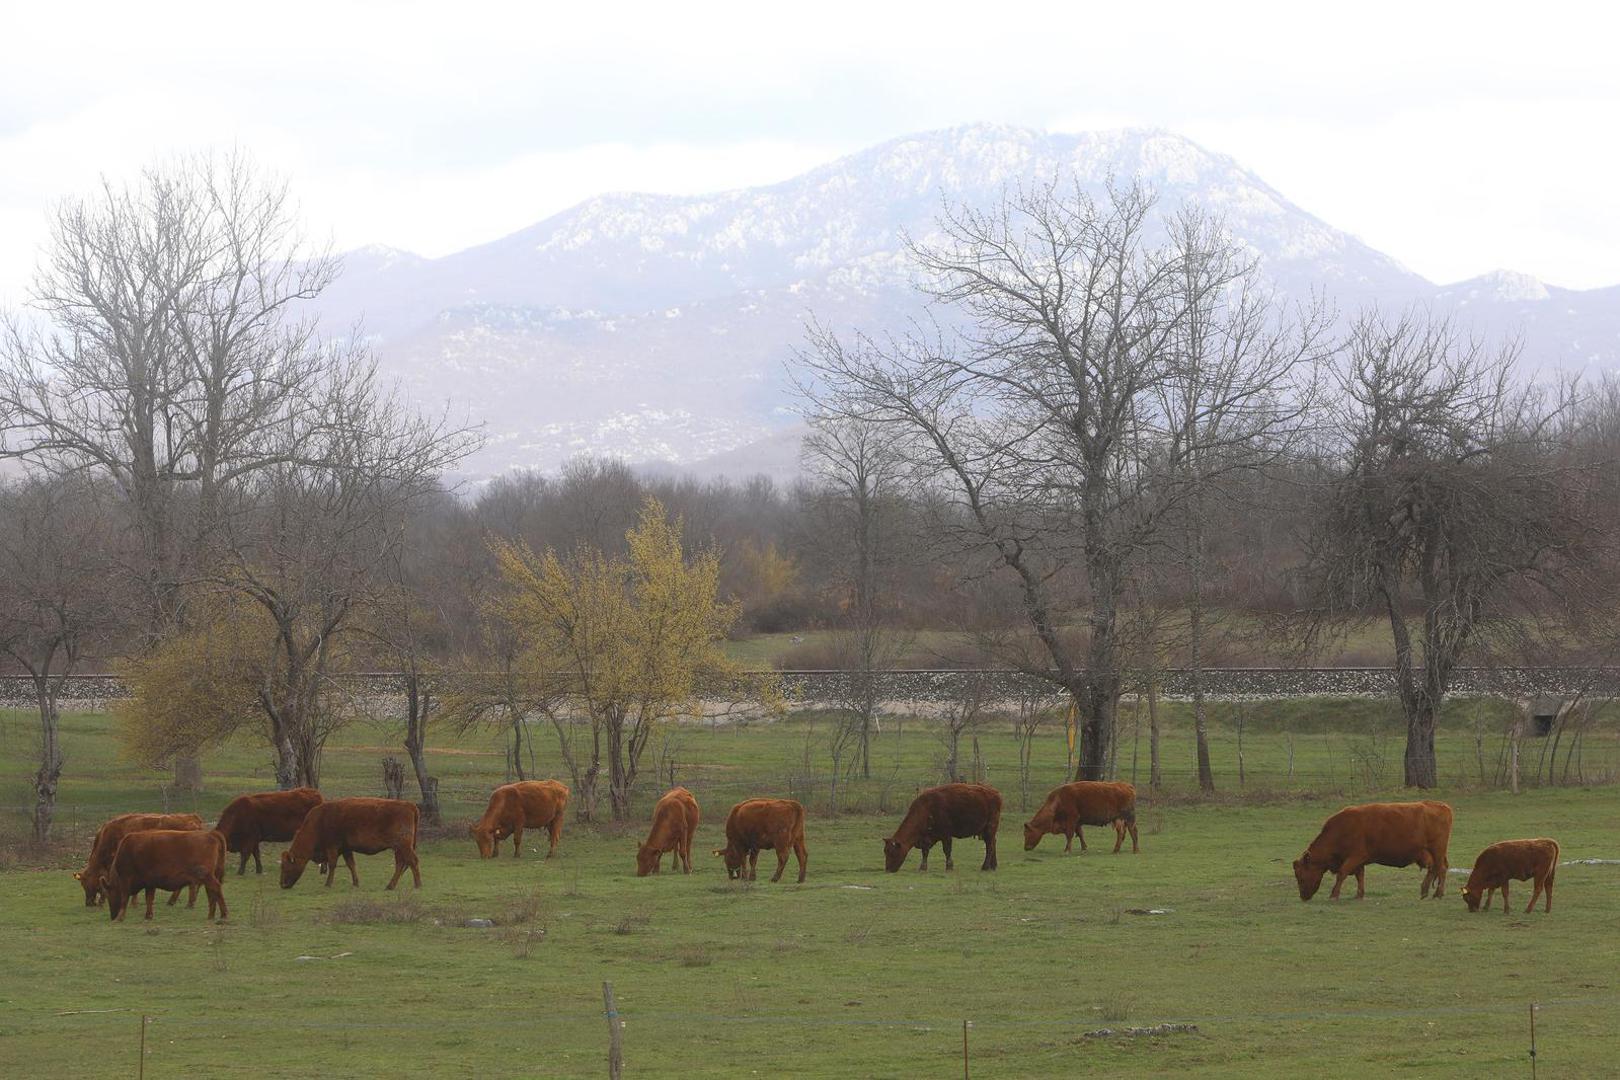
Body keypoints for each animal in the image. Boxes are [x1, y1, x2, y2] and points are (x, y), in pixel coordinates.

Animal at [100, 829, 228, 919]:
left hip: (206, 876)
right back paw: (211, 916)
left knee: (216, 888)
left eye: (108, 894)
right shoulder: (150, 883)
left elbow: (125, 898)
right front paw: (148, 915)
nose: (112, 916)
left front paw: (121, 917)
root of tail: (211, 834)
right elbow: (149, 898)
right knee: (211, 892)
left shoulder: (126, 880)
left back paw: (224, 915)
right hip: (209, 876)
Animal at [280, 799, 421, 893]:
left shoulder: (332, 847)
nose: (282, 884)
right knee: (401, 864)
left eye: (286, 866)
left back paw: (417, 885)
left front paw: (328, 884)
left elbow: (332, 865)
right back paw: (390, 886)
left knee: (412, 861)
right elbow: (351, 865)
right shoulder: (346, 849)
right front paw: (355, 883)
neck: (318, 823)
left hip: (403, 846)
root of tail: (410, 805)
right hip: (398, 848)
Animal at [1289, 803, 1458, 906]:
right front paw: (1359, 895)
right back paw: (1424, 891)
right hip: (1431, 853)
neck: (1341, 830)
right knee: (1434, 869)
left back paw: (1438, 893)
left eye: (1300, 876)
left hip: (1437, 850)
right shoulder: (1359, 861)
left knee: (1441, 869)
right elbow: (1360, 876)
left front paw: (1334, 895)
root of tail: (1440, 805)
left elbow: (1342, 874)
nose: (1303, 897)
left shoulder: (1354, 857)